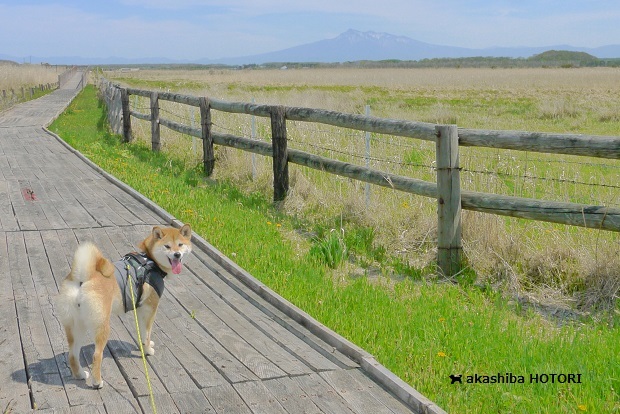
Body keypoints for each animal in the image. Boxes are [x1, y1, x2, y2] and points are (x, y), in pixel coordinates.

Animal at [56, 223, 191, 388]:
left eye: (180, 245)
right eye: (167, 246)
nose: (177, 255)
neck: (150, 260)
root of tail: (82, 279)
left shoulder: (139, 308)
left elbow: (142, 333)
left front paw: (143, 345)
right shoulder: (150, 309)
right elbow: (147, 333)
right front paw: (147, 350)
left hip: (76, 325)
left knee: (72, 354)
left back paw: (80, 375)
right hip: (102, 326)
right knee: (97, 355)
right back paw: (97, 382)